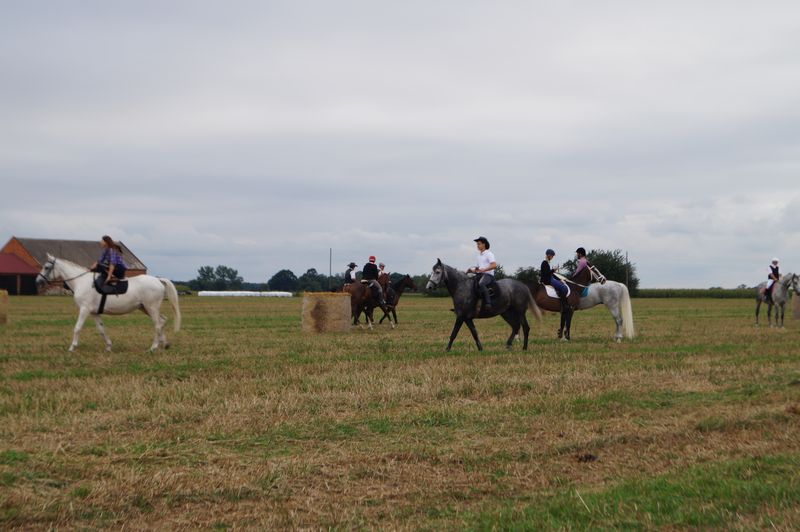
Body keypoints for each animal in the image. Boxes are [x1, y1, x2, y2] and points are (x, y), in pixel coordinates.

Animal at [37, 255, 180, 352]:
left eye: (47, 267)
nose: (37, 281)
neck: (81, 281)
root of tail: (158, 280)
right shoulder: (94, 312)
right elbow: (101, 329)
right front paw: (109, 346)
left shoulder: (84, 309)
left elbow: (77, 328)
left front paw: (72, 347)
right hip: (145, 308)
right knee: (162, 321)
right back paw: (164, 343)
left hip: (151, 308)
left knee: (157, 324)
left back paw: (153, 347)